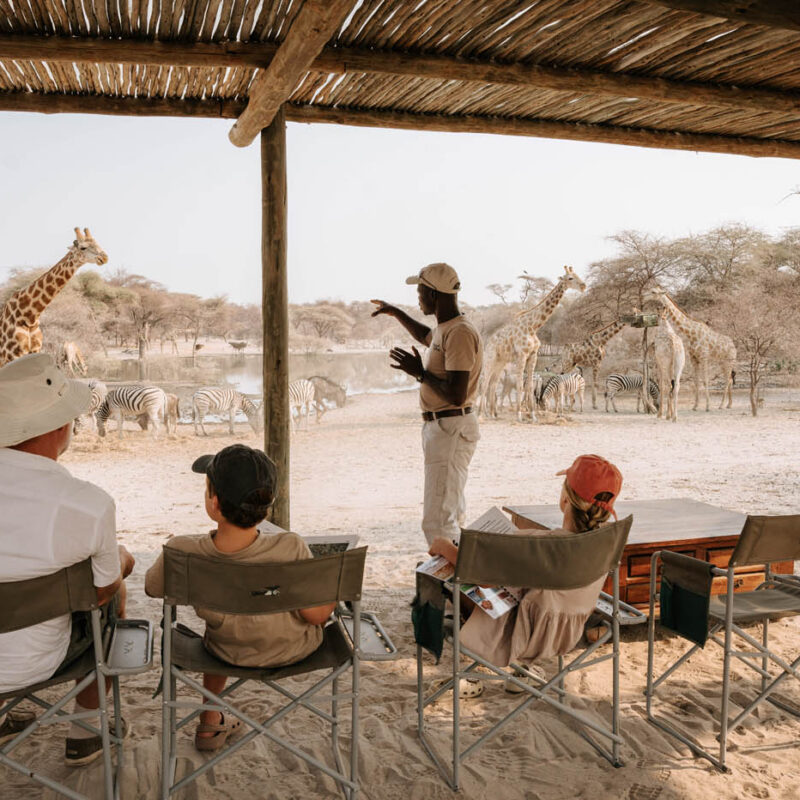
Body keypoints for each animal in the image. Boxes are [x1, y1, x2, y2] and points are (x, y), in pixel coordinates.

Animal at [0, 228, 108, 367]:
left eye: (97, 243)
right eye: (83, 247)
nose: (104, 257)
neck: (28, 316)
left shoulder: (35, 352)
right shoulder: (12, 356)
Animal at [480, 265, 586, 421]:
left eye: (577, 275)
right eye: (570, 278)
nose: (584, 286)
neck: (533, 326)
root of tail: (488, 342)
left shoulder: (533, 355)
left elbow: (530, 386)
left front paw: (533, 416)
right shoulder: (522, 355)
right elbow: (519, 385)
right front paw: (519, 416)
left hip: (501, 362)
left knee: (492, 384)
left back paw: (492, 414)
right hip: (490, 358)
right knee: (485, 382)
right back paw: (481, 414)